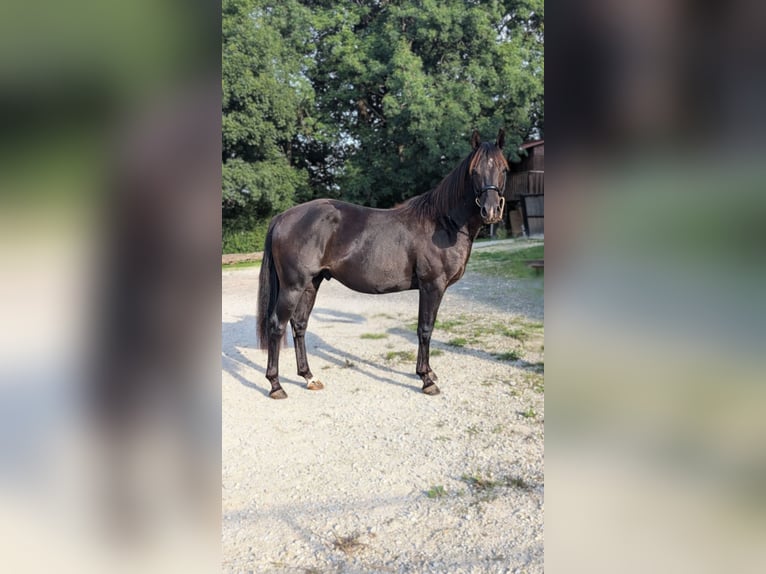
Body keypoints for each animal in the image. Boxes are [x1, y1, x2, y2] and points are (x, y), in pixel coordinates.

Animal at [257, 129, 508, 399]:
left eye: (504, 169)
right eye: (474, 171)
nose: (491, 211)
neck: (442, 224)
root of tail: (283, 217)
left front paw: (429, 373)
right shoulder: (432, 286)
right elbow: (425, 329)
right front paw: (426, 379)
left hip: (311, 284)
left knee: (299, 324)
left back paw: (309, 377)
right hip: (293, 287)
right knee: (277, 326)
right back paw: (276, 385)